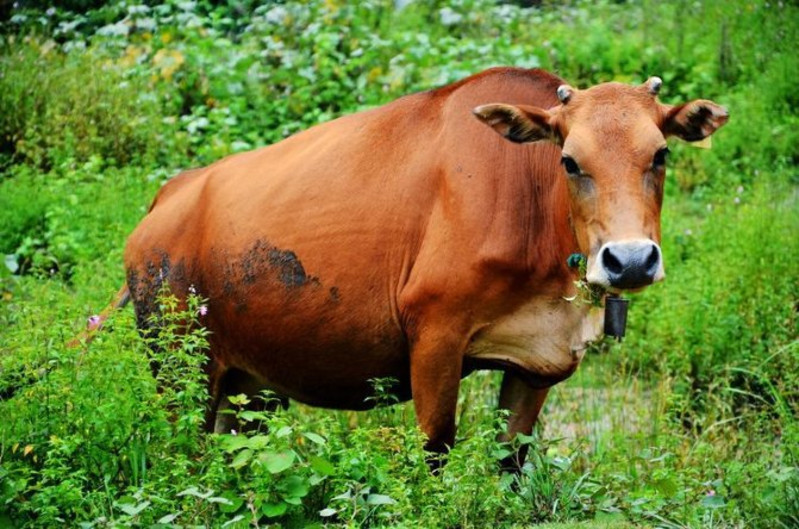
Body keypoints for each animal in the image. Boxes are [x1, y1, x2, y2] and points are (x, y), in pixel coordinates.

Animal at [114, 68, 732, 468]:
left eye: (661, 154)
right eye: (569, 160)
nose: (630, 260)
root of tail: (172, 192)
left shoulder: (539, 359)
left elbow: (513, 460)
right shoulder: (434, 334)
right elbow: (436, 447)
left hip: (251, 387)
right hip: (178, 367)